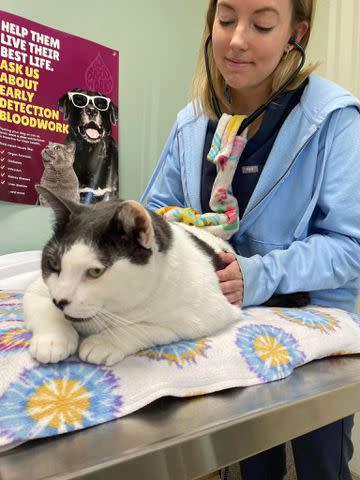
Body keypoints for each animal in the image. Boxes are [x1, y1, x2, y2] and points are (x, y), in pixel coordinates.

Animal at [23, 186, 240, 366]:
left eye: (95, 272)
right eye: (54, 264)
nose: (60, 301)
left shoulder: (207, 315)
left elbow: (141, 326)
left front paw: (105, 342)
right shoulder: (38, 290)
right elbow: (44, 306)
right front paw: (52, 340)